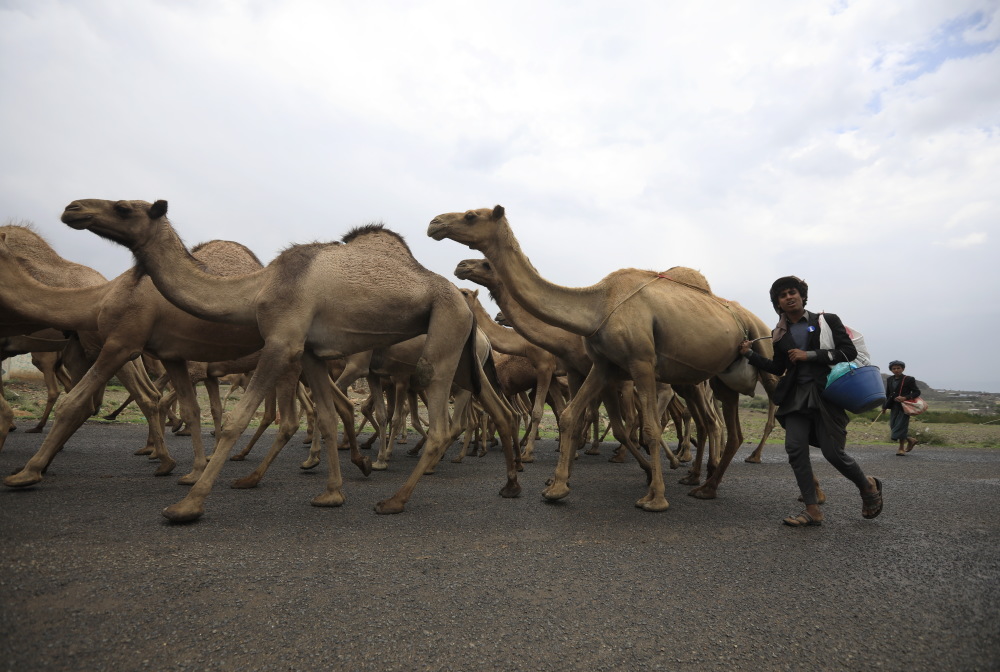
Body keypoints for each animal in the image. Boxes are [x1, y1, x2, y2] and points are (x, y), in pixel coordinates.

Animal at [62, 197, 520, 524]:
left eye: (123, 207)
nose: (73, 209)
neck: (260, 287)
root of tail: (464, 302)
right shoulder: (311, 352)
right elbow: (327, 416)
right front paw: (331, 493)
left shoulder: (282, 341)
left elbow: (237, 420)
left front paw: (187, 505)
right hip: (465, 355)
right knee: (498, 409)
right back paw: (510, 484)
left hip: (443, 331)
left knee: (443, 420)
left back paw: (393, 500)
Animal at [428, 205, 772, 510]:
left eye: (471, 215)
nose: (434, 224)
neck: (596, 307)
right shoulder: (598, 366)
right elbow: (571, 416)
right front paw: (556, 486)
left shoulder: (634, 365)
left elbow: (643, 425)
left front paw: (654, 495)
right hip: (711, 379)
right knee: (720, 425)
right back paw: (704, 484)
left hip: (757, 355)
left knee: (714, 418)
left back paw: (700, 468)